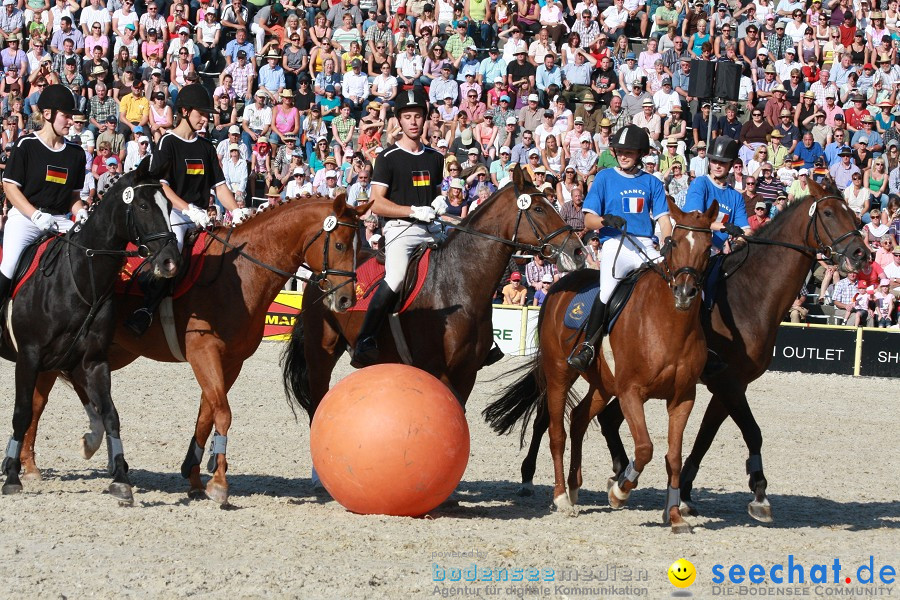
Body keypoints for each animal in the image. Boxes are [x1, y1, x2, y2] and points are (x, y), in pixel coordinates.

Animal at [0, 157, 181, 504]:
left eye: (168, 205)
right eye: (142, 205)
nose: (170, 262)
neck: (77, 278)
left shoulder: (92, 360)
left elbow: (110, 414)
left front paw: (121, 478)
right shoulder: (29, 356)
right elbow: (22, 412)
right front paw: (12, 478)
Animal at [16, 195, 366, 504]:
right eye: (339, 245)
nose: (346, 299)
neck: (239, 275)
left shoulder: (230, 362)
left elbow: (206, 416)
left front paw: (196, 477)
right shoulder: (204, 353)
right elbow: (222, 413)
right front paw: (219, 484)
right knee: (38, 402)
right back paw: (30, 467)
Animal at [284, 163, 588, 426]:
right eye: (538, 208)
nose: (578, 251)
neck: (458, 283)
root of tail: (318, 273)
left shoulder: (467, 373)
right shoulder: (437, 369)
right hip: (320, 352)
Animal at [486, 200, 716, 536]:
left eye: (708, 247)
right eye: (674, 244)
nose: (684, 293)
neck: (669, 325)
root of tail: (560, 285)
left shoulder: (683, 397)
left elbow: (673, 456)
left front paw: (675, 517)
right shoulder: (631, 392)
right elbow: (645, 448)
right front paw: (619, 490)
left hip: (603, 384)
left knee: (579, 418)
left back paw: (573, 487)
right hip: (560, 374)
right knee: (556, 430)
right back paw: (561, 497)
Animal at [510, 180, 868, 524]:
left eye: (854, 215)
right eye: (829, 214)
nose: (862, 254)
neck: (750, 293)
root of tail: (561, 284)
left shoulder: (726, 385)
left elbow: (703, 439)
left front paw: (687, 493)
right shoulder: (727, 383)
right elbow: (751, 432)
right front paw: (757, 495)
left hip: (603, 380)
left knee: (591, 418)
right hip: (563, 368)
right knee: (548, 418)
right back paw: (535, 479)